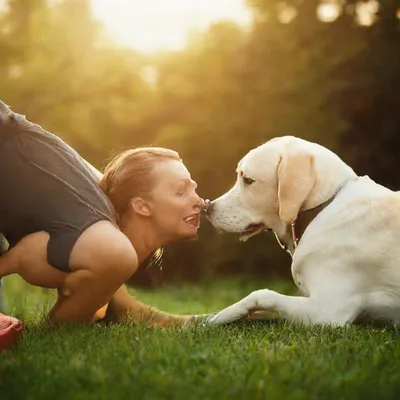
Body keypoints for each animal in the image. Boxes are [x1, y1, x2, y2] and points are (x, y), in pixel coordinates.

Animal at [205, 137, 400, 324]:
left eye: (247, 180)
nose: (207, 207)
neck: (323, 207)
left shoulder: (327, 310)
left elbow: (261, 294)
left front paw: (221, 315)